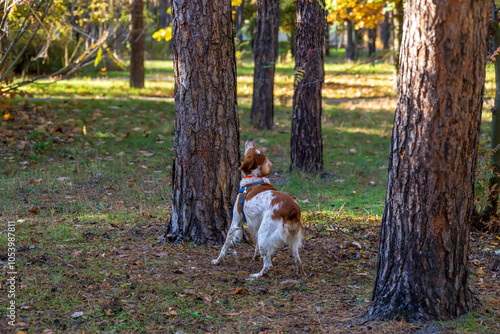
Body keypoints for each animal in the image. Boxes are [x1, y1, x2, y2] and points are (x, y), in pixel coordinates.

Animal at [212, 137, 304, 278]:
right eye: (255, 148)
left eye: (250, 149)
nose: (250, 139)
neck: (254, 179)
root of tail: (293, 209)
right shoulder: (256, 222)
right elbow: (255, 246)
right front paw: (255, 256)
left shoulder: (236, 221)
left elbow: (226, 243)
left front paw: (218, 260)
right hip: (292, 237)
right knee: (298, 260)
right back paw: (299, 272)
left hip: (264, 234)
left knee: (268, 265)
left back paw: (256, 275)